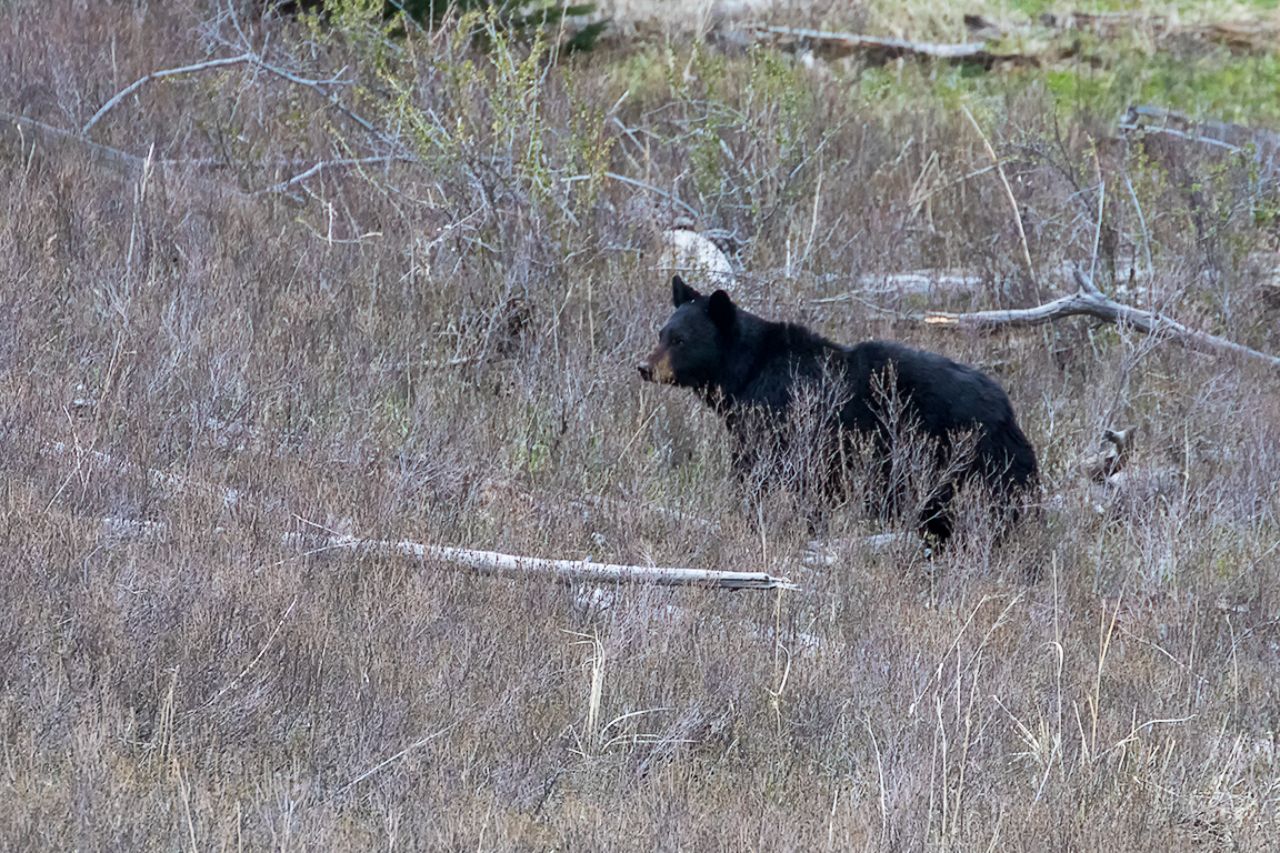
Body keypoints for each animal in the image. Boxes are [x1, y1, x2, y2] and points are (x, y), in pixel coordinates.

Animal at [637, 275, 1039, 544]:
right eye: (661, 333)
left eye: (681, 340)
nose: (644, 367)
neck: (747, 372)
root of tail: (1007, 409)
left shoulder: (782, 419)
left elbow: (767, 476)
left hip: (970, 461)